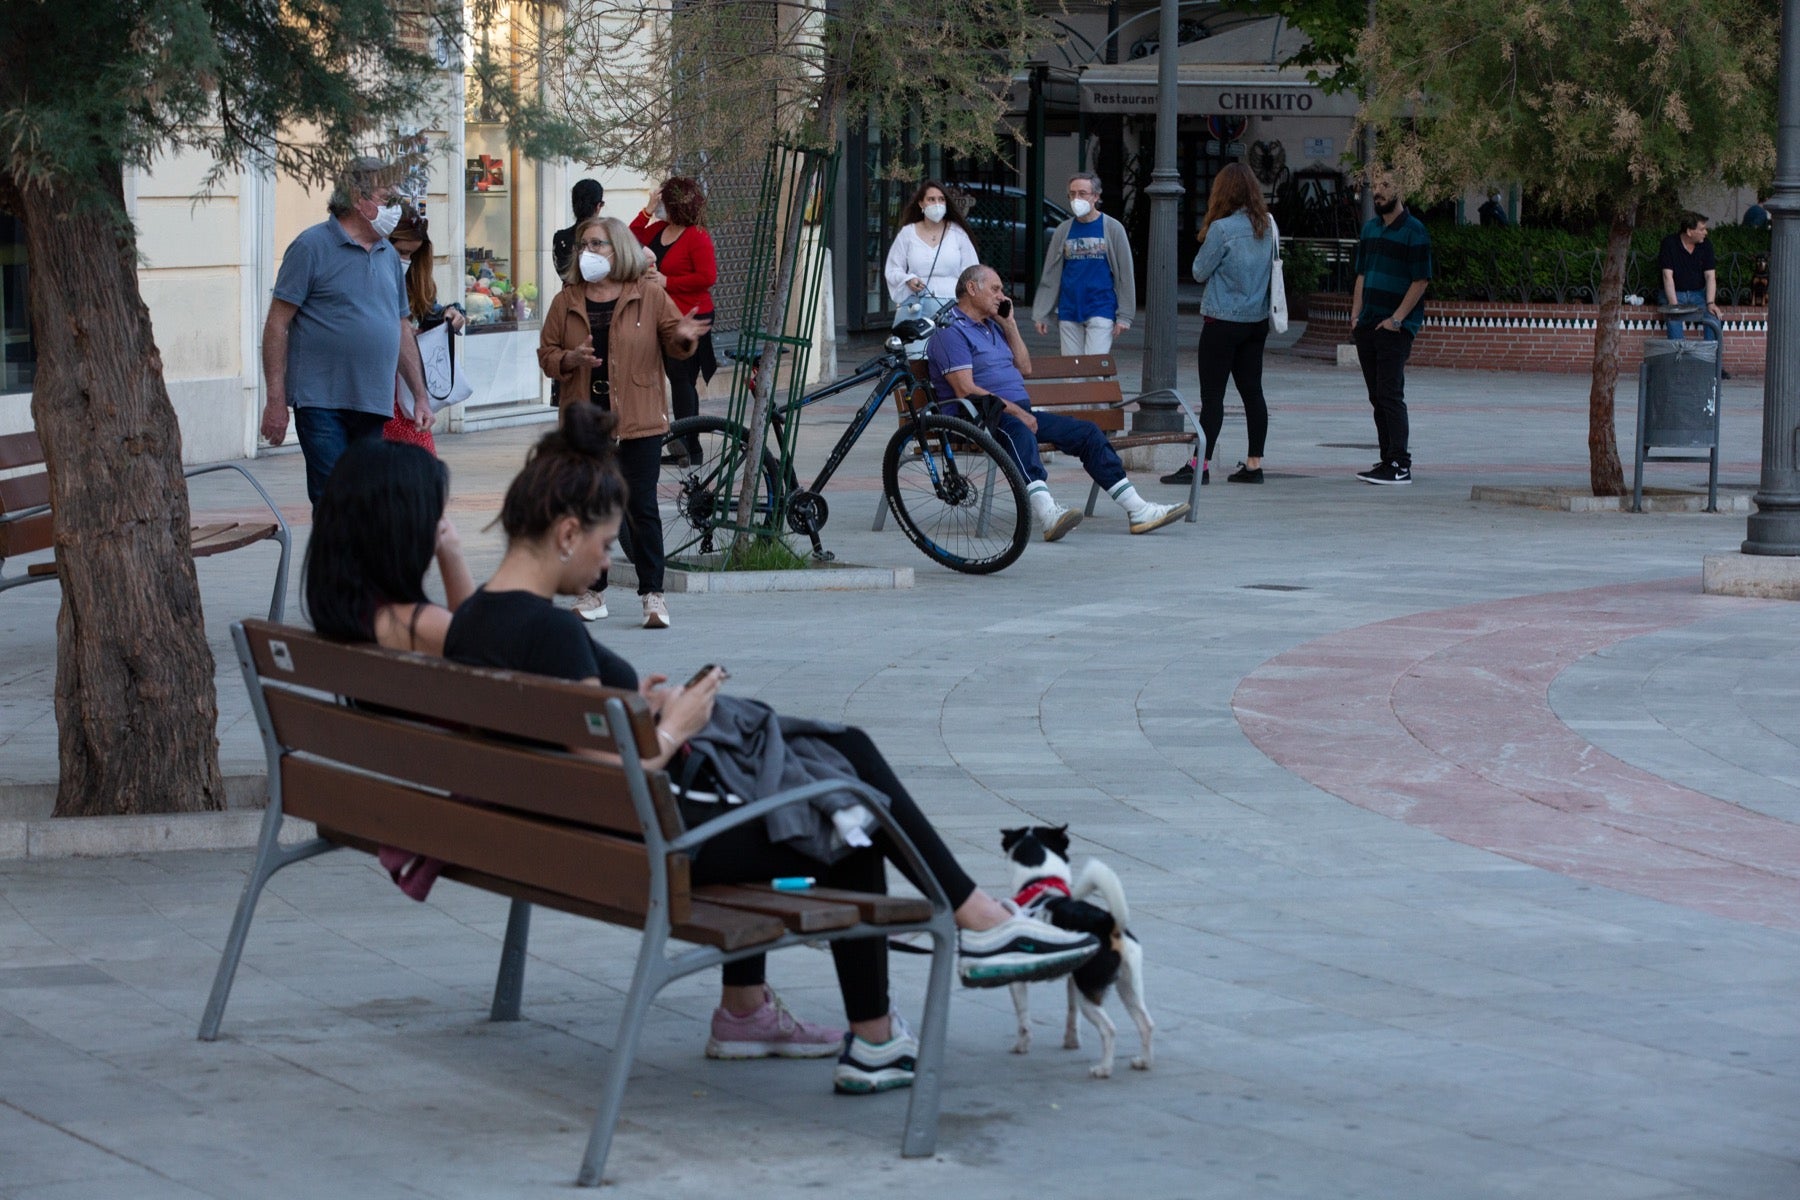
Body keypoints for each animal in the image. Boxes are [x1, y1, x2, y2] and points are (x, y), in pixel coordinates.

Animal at [1000, 827, 1152, 1079]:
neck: (1041, 884)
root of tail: (1110, 924)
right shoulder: (1072, 978)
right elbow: (1072, 1015)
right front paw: (1071, 1041)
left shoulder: (1017, 979)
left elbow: (1023, 1019)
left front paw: (1021, 1046)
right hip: (1128, 987)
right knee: (1146, 1023)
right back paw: (1144, 1062)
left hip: (1089, 991)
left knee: (1109, 1030)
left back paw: (1104, 1068)